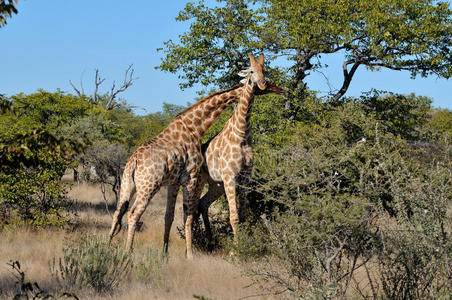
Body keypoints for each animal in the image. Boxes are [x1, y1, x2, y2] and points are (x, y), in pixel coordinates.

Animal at [108, 53, 272, 258]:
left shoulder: (174, 182)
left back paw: (107, 245)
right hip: (149, 186)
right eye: (251, 72)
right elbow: (188, 215)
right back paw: (128, 252)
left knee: (118, 211)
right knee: (133, 214)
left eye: (265, 70)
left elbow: (169, 216)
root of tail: (134, 161)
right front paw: (190, 254)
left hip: (127, 185)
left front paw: (165, 253)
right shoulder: (192, 177)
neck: (195, 127)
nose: (265, 84)